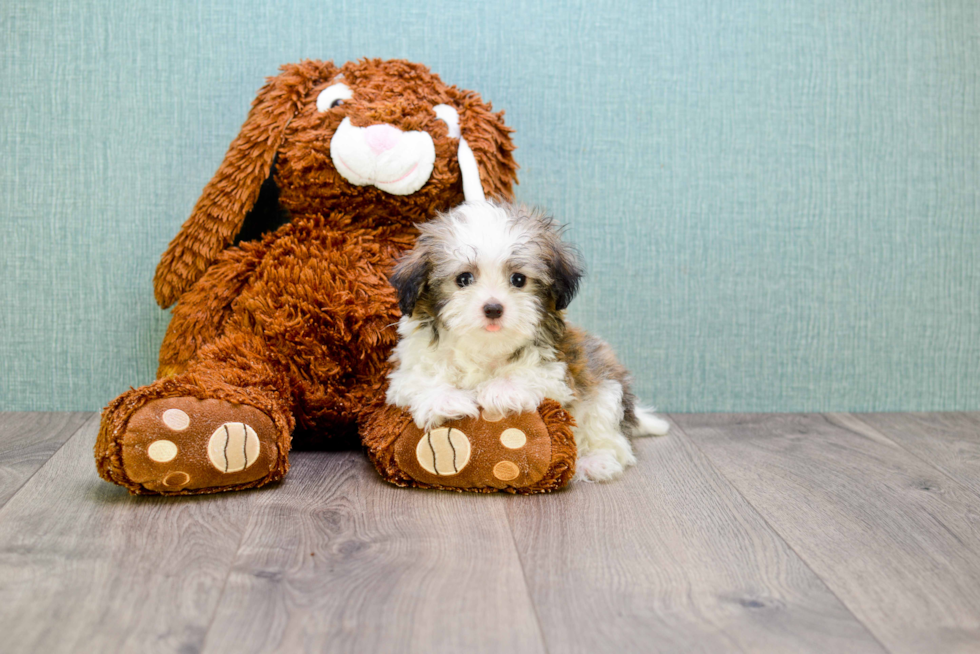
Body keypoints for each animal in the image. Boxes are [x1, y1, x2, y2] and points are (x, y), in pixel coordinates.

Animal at [386, 200, 668, 482]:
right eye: (463, 279)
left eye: (518, 279)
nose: (493, 308)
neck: (486, 347)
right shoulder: (408, 371)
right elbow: (421, 379)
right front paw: (446, 400)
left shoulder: (558, 367)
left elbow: (532, 373)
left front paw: (500, 390)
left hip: (606, 391)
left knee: (612, 438)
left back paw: (596, 461)